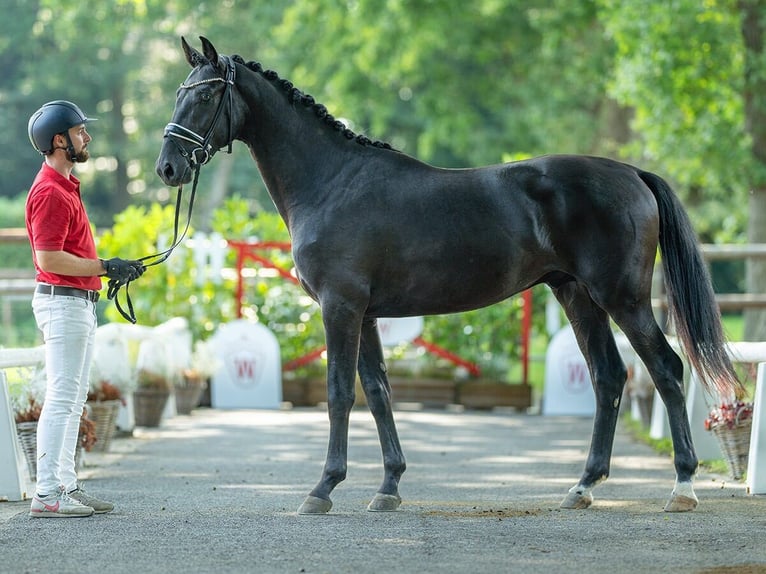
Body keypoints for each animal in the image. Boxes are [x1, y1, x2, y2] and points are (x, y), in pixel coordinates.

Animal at [158, 38, 744, 516]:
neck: (332, 181)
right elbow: (378, 391)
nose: (167, 168)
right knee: (609, 376)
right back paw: (582, 486)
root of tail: (632, 174)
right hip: (577, 296)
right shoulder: (364, 314)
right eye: (180, 93)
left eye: (205, 97)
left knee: (666, 368)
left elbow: (340, 393)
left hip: (623, 298)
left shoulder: (339, 307)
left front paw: (323, 488)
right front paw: (388, 488)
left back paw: (683, 486)